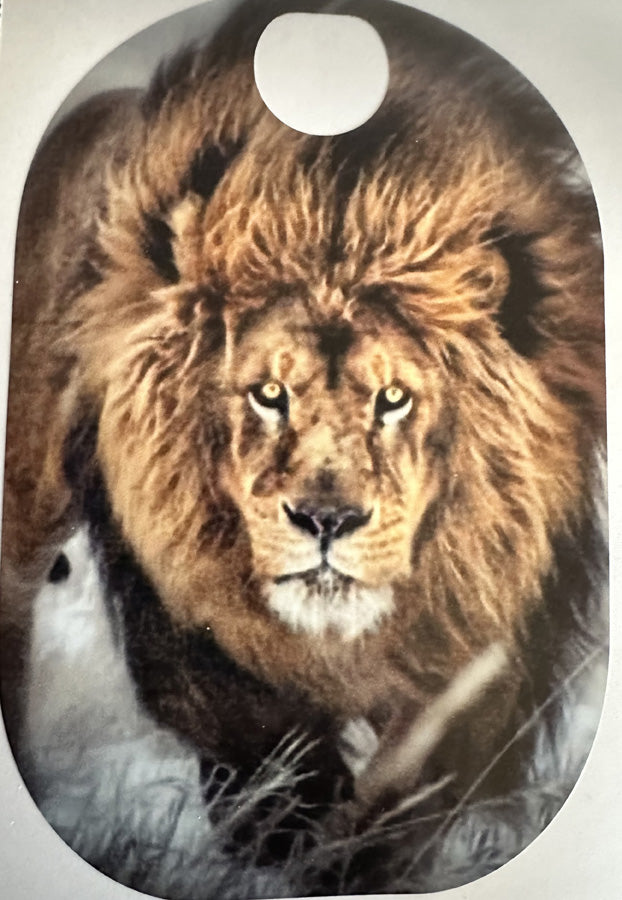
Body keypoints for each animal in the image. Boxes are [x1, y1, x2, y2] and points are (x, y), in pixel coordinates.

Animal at [1, 0, 605, 838]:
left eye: (393, 398)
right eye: (267, 393)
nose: (327, 521)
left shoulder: (486, 648)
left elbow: (410, 793)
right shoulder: (199, 645)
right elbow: (277, 779)